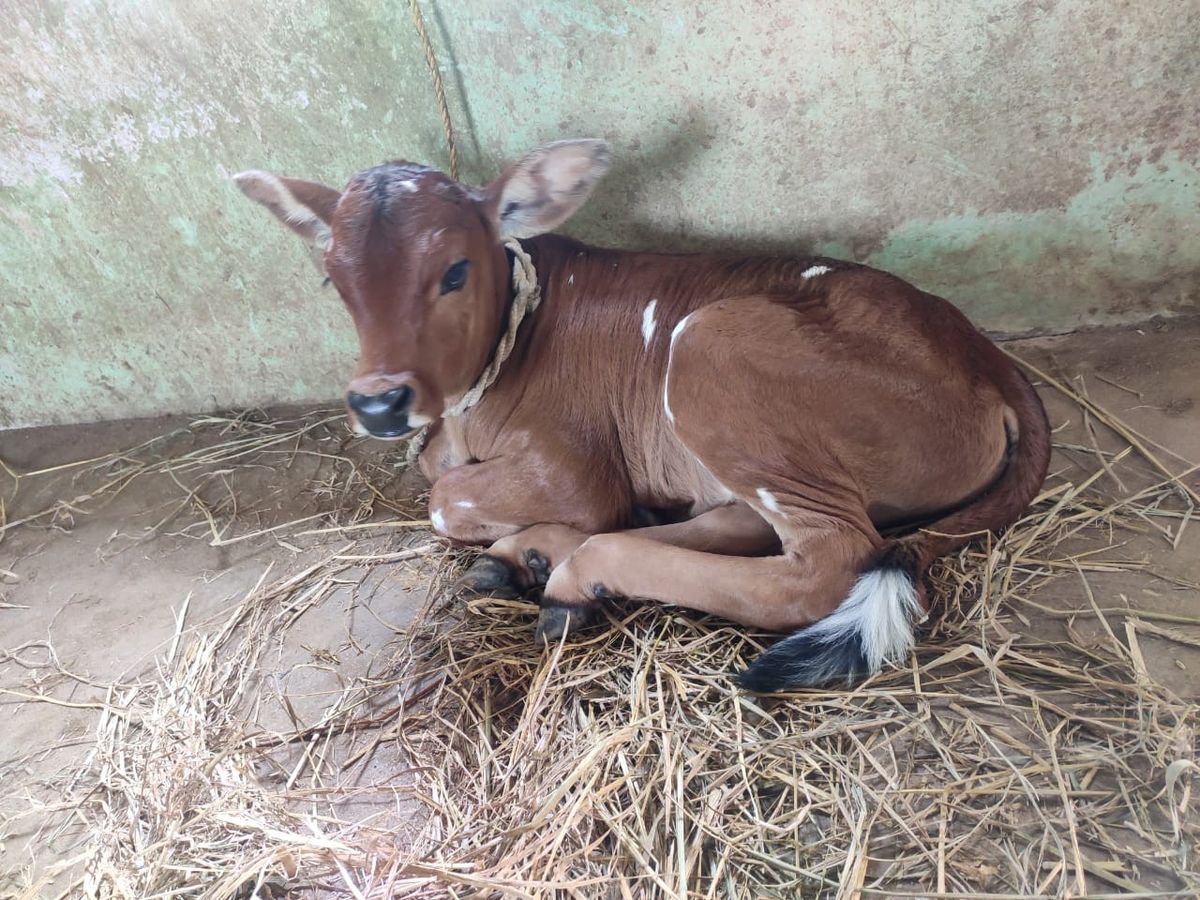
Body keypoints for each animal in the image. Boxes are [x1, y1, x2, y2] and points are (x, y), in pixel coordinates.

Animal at [234, 139, 1050, 691]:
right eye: (334, 280)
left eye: (455, 271)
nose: (379, 402)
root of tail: (982, 352)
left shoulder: (574, 470)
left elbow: (444, 500)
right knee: (746, 524)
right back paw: (536, 556)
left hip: (708, 351)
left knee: (826, 562)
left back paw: (574, 573)